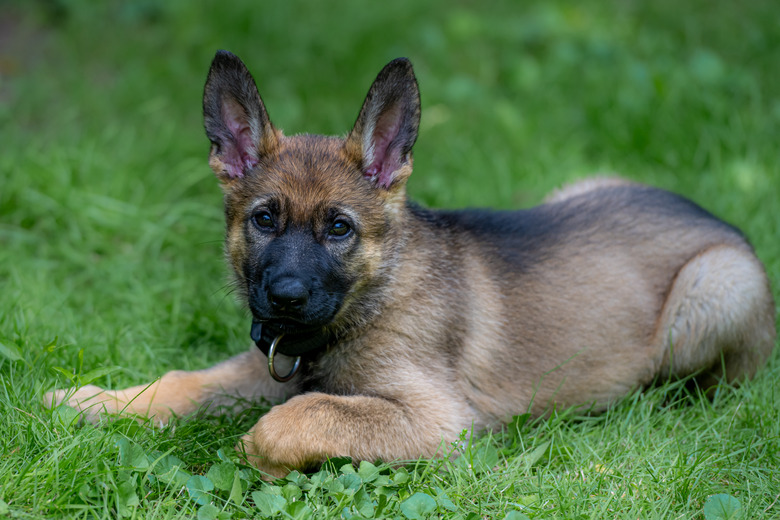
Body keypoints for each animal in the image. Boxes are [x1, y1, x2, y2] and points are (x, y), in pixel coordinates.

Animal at [45, 50, 776, 478]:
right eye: (264, 220)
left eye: (339, 228)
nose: (283, 298)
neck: (372, 297)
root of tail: (720, 224)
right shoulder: (267, 365)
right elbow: (186, 382)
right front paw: (96, 401)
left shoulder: (439, 420)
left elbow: (302, 416)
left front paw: (261, 454)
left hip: (712, 290)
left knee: (712, 384)